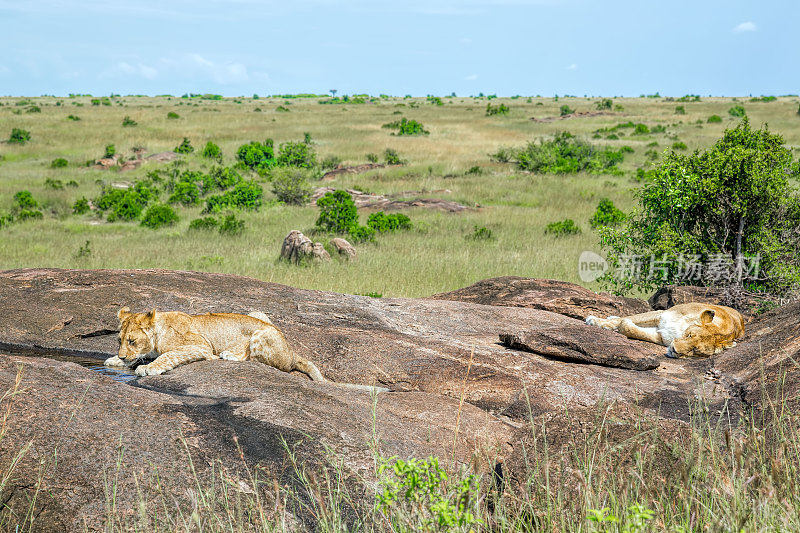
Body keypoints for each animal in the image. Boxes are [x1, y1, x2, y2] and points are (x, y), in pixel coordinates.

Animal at [104, 306, 386, 388]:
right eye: (119, 340)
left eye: (132, 340)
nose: (121, 354)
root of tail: (291, 350)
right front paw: (115, 360)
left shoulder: (200, 346)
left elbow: (168, 355)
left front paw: (148, 368)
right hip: (258, 314)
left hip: (261, 333)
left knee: (257, 360)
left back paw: (229, 355)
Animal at [584, 304, 748, 358]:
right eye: (690, 335)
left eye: (695, 350)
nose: (674, 350)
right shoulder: (662, 314)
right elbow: (625, 320)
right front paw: (595, 321)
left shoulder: (661, 335)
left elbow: (631, 329)